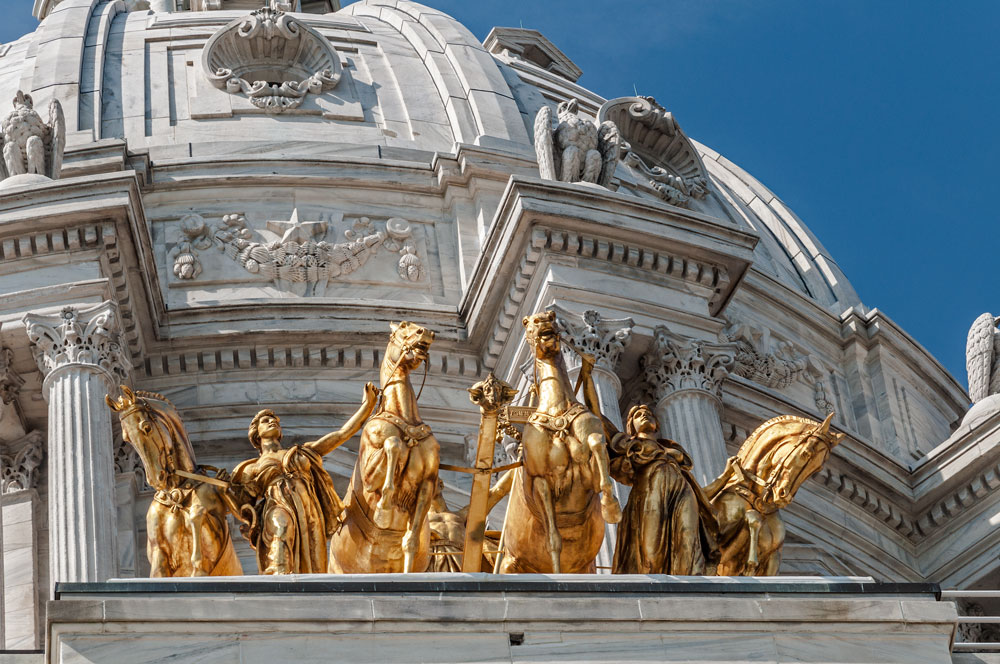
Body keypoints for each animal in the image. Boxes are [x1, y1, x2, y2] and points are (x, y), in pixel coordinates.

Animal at [106, 386, 243, 580]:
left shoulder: (216, 536)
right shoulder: (158, 554)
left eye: (146, 427)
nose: (155, 478)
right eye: (127, 439)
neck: (176, 492)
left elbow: (197, 513)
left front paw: (197, 565)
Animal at [330, 320, 440, 572]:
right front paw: (385, 507)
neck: (406, 420)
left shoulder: (427, 482)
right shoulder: (369, 476)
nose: (426, 332)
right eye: (403, 326)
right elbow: (393, 443)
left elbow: (410, 541)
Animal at [498, 314, 616, 572]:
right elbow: (554, 539)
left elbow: (596, 443)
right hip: (509, 564)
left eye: (551, 317)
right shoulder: (540, 481)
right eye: (529, 322)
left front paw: (611, 506)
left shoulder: (590, 472)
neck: (557, 410)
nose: (544, 320)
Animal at [704, 416, 844, 576]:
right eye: (806, 453)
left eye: (818, 468)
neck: (759, 503)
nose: (784, 497)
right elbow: (753, 517)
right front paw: (751, 562)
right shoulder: (718, 545)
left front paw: (751, 564)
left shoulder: (774, 558)